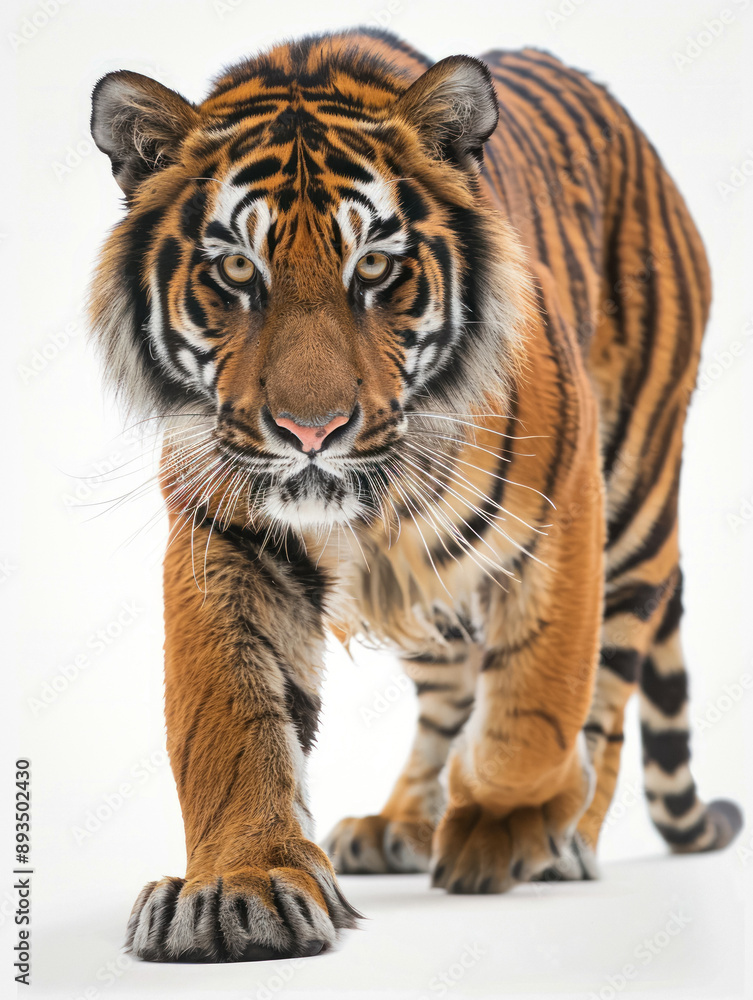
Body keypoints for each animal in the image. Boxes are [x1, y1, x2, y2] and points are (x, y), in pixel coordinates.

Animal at [89, 28, 743, 963]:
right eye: (237, 270)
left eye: (375, 267)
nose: (311, 429)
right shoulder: (226, 534)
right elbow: (228, 720)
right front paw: (240, 886)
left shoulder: (561, 513)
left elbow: (538, 704)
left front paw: (506, 827)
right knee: (451, 685)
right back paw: (400, 825)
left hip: (636, 510)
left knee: (604, 694)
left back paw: (563, 836)